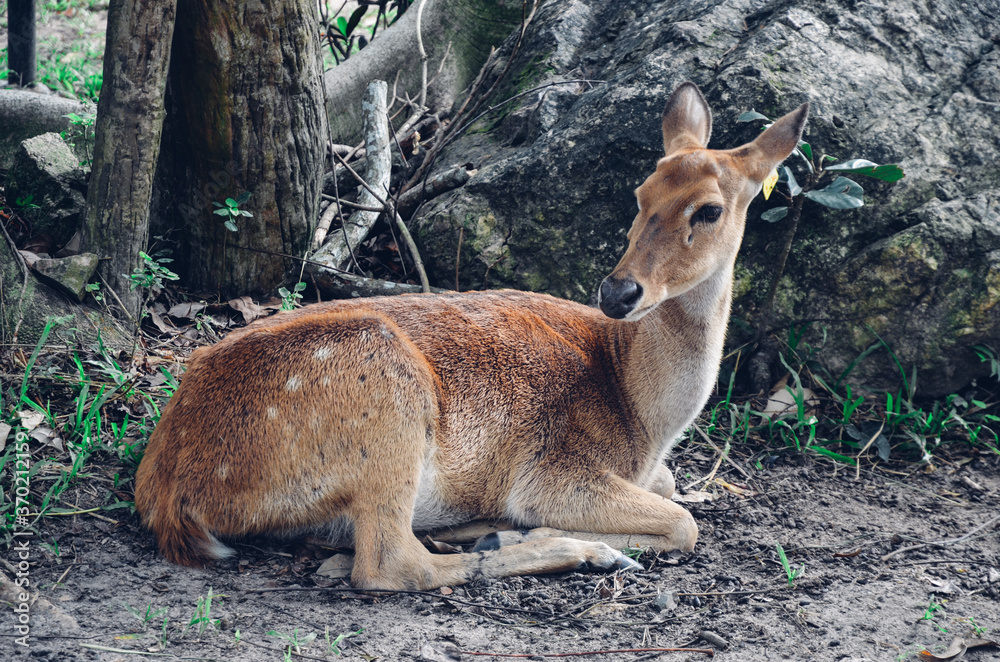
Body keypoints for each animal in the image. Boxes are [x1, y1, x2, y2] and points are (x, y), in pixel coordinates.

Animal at [134, 82, 809, 590]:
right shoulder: (558, 467)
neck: (643, 417)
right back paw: (561, 547)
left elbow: (673, 494)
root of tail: (167, 494)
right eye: (640, 193)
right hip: (385, 404)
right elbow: (682, 523)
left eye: (710, 209)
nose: (619, 292)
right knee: (388, 564)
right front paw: (548, 530)